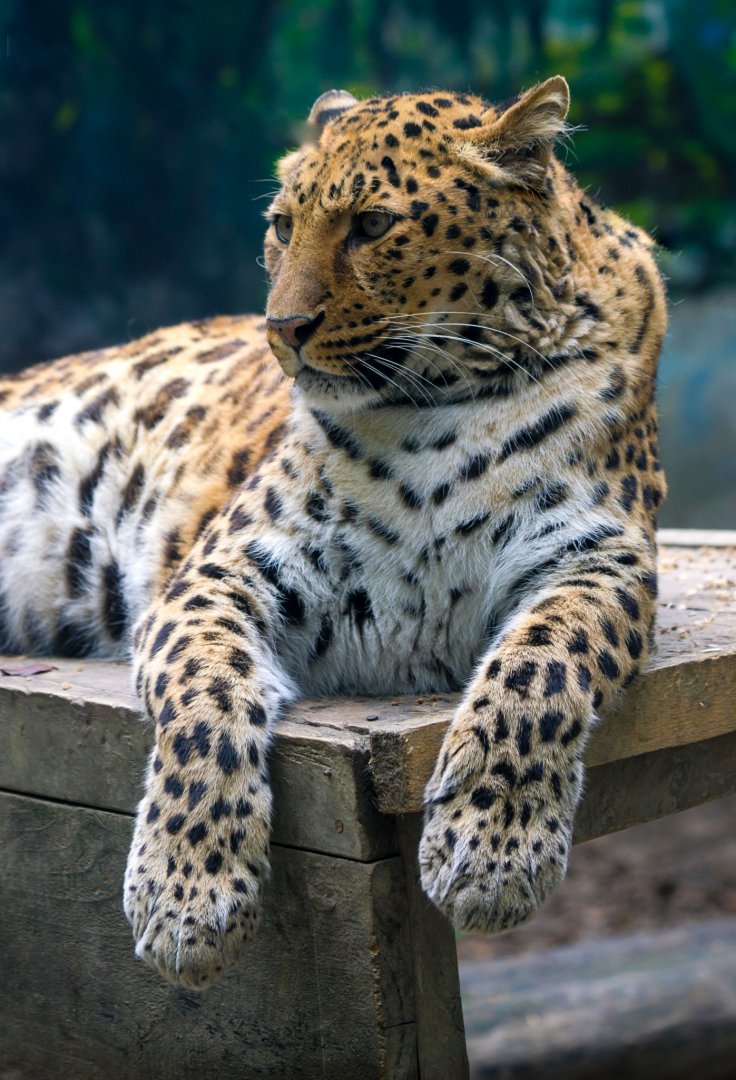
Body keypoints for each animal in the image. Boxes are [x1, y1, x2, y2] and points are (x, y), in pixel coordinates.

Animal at [0, 76, 667, 990]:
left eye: (374, 225)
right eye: (283, 225)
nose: (281, 329)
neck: (432, 414)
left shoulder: (600, 554)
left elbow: (540, 671)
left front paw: (491, 850)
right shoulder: (221, 572)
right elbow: (203, 705)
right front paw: (186, 890)